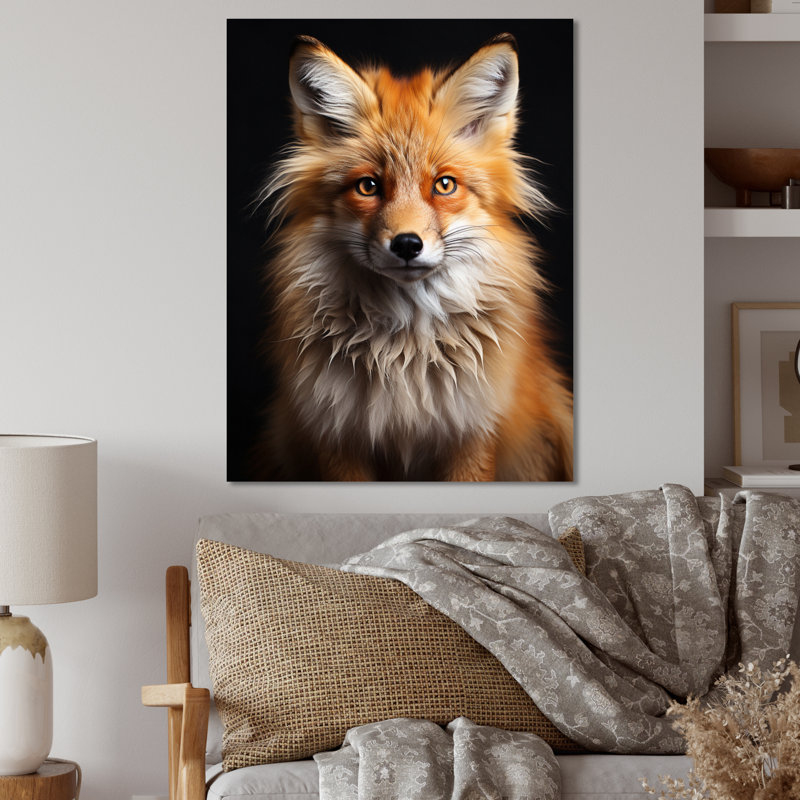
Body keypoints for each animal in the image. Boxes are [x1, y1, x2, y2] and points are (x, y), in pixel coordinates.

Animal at [256, 33, 573, 481]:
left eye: (444, 184)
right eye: (368, 186)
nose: (407, 244)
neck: (405, 355)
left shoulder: (473, 432)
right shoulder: (336, 435)